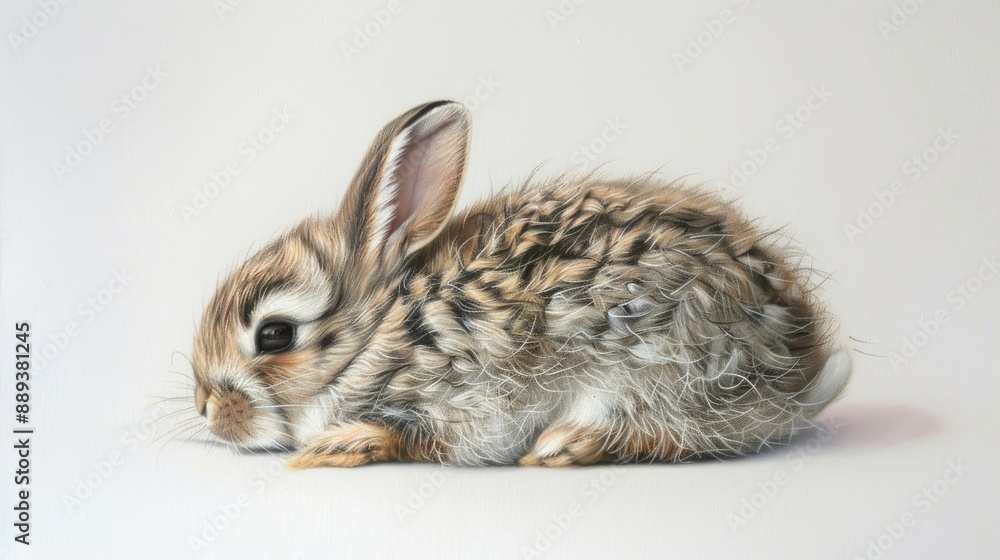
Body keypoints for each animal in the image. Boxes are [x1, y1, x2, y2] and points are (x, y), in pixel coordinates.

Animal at [191, 100, 850, 468]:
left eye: (274, 336)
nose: (206, 409)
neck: (376, 333)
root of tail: (802, 364)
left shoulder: (467, 401)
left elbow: (425, 438)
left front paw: (340, 445)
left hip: (665, 369)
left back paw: (567, 446)